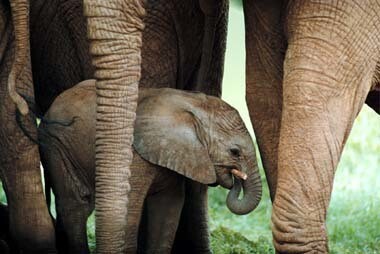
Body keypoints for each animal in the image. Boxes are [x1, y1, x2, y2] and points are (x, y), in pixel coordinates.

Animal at [38, 80, 262, 254]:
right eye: (235, 151)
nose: (237, 179)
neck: (193, 105)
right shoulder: (133, 154)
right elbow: (130, 204)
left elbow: (168, 207)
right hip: (55, 143)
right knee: (76, 205)